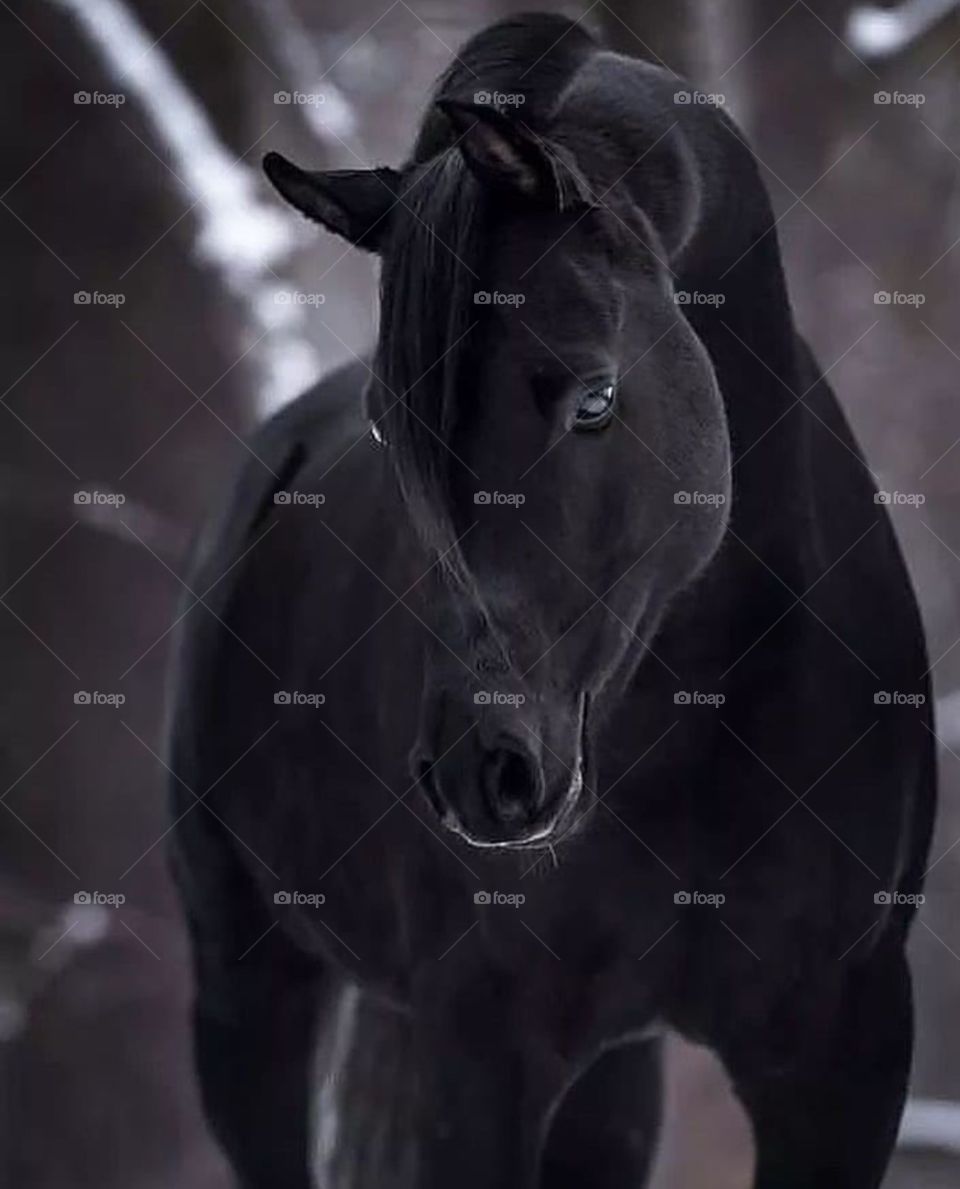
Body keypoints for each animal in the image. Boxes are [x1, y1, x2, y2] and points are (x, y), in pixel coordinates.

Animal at [168, 12, 936, 1188]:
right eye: (391, 418)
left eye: (596, 397)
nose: (482, 775)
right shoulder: (481, 1050)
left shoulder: (845, 1048)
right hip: (247, 982)